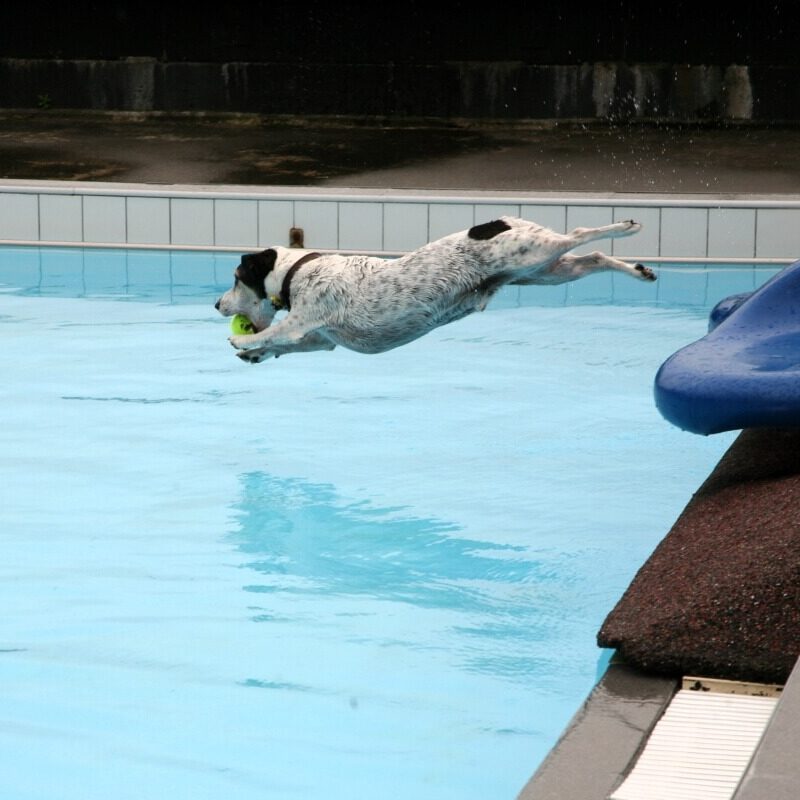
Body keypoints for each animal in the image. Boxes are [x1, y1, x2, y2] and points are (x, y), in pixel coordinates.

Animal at [216, 212, 652, 362]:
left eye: (236, 279)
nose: (217, 305)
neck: (300, 269)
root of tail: (498, 222)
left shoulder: (304, 320)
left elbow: (275, 332)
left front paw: (243, 342)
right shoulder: (323, 340)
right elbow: (286, 345)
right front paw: (255, 355)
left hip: (533, 254)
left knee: (580, 233)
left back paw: (627, 228)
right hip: (541, 270)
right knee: (594, 258)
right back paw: (639, 270)